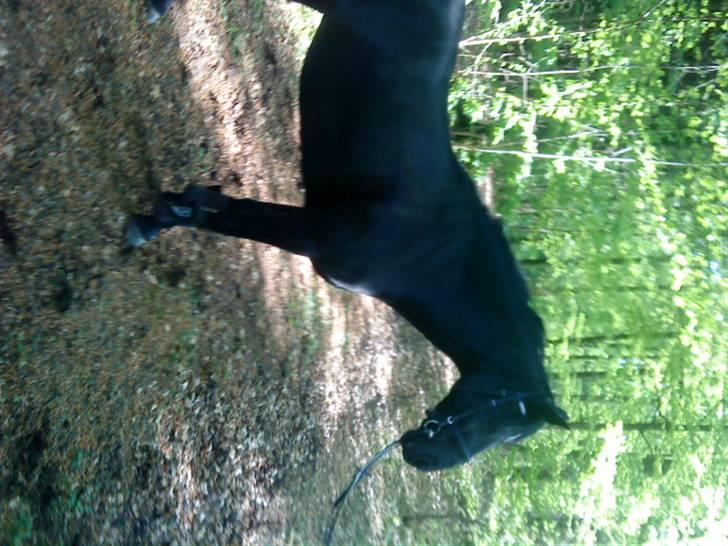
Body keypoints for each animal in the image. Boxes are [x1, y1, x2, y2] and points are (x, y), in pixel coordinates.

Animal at [129, 0, 568, 473]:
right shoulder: (311, 234)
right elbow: (218, 214)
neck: (431, 256)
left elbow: (214, 205)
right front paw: (153, 220)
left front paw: (163, 213)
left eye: (506, 434)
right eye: (500, 421)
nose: (422, 458)